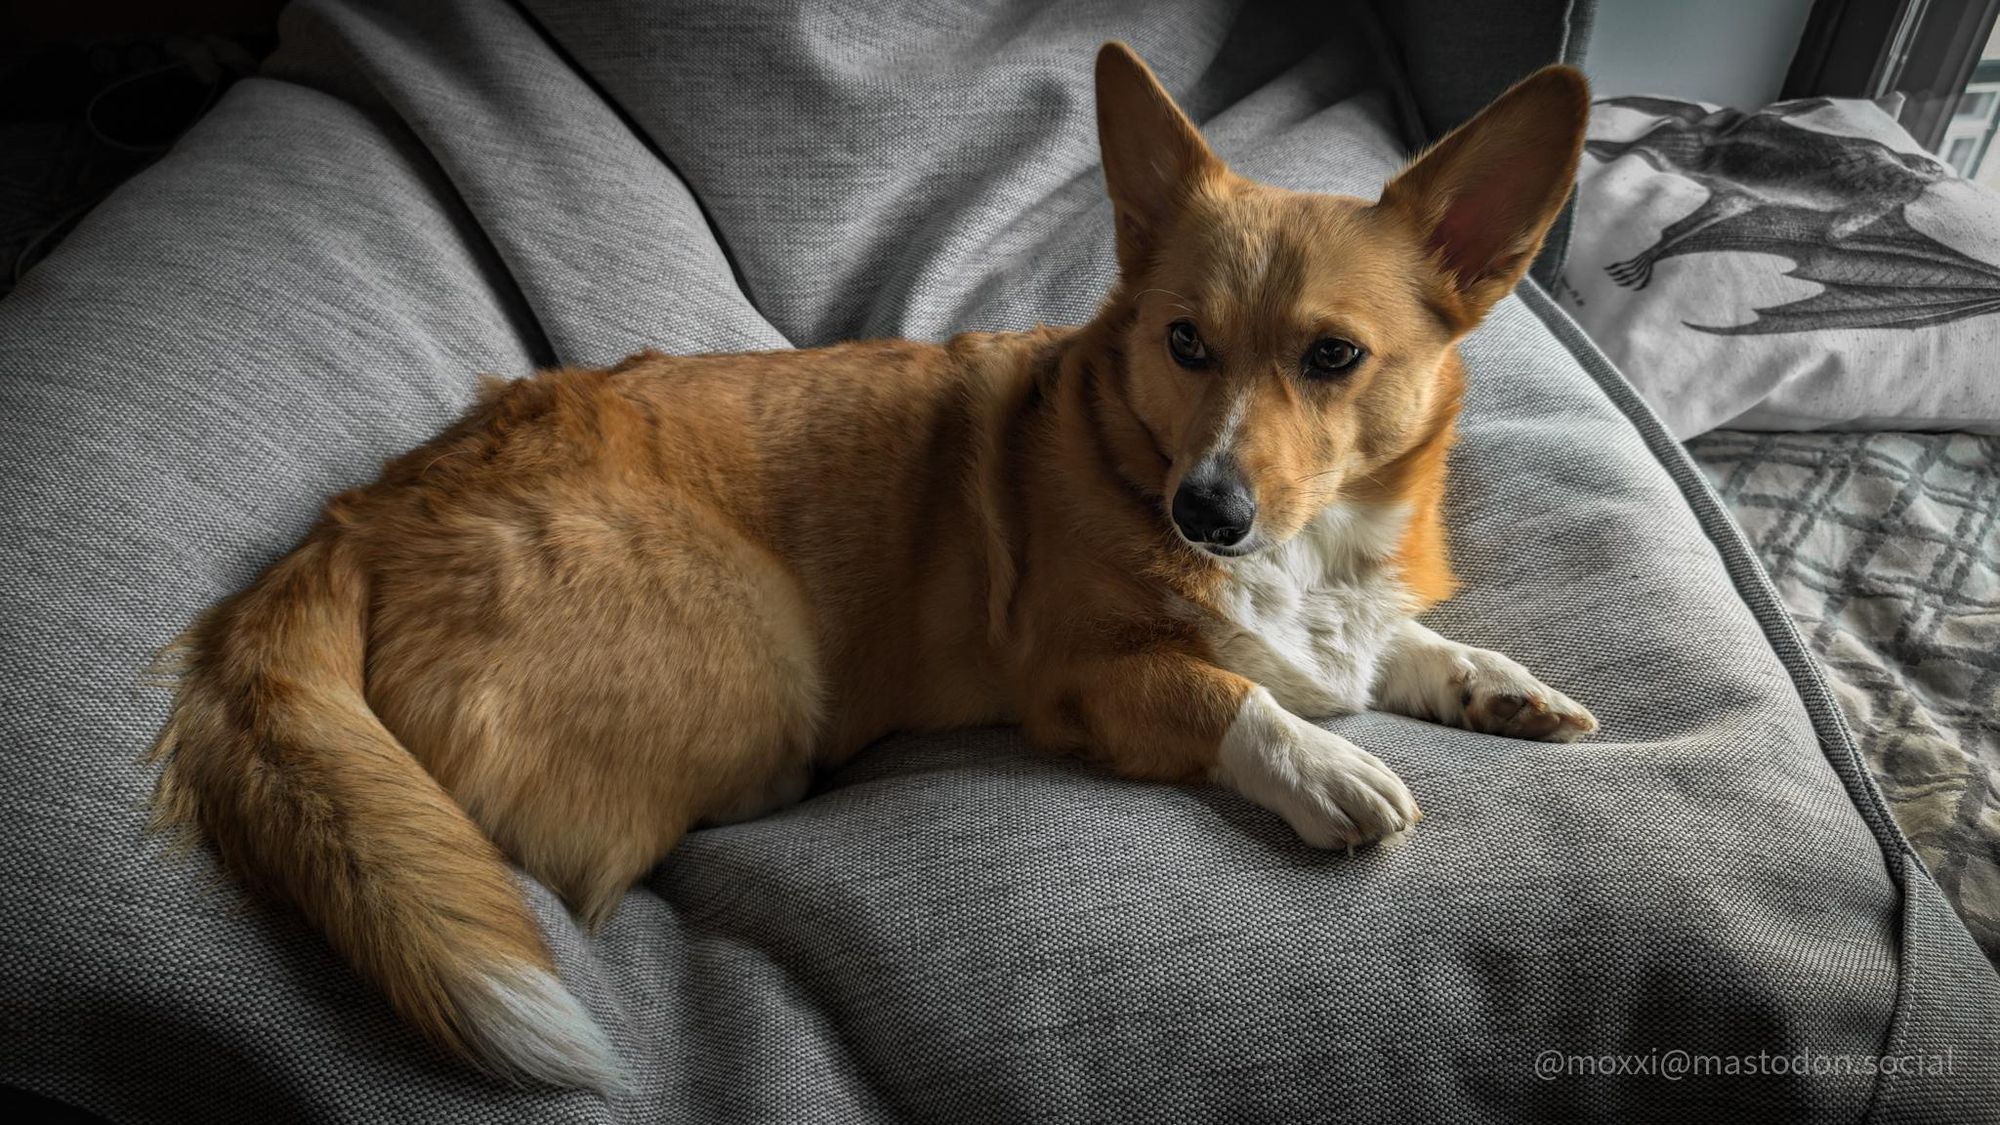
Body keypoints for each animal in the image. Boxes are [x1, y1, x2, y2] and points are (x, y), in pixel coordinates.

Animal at [148, 43, 1592, 1088]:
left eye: (1332, 357)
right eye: (1184, 341)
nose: (1207, 513)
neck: (1301, 547)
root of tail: (356, 517)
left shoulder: (1347, 611)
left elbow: (1398, 645)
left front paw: (1500, 687)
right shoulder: (1086, 678)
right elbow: (1236, 698)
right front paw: (1331, 770)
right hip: (761, 638)